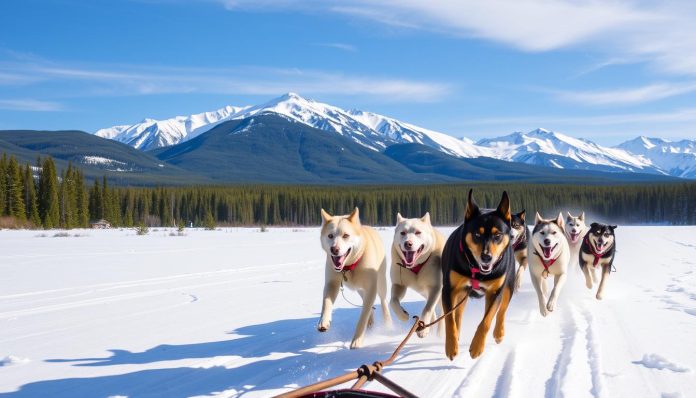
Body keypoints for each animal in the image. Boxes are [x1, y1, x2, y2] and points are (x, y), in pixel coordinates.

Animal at [316, 208, 388, 348]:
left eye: (345, 235)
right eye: (330, 236)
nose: (334, 249)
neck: (350, 266)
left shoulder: (371, 288)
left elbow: (363, 317)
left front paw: (357, 340)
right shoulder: (332, 283)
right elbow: (326, 303)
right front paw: (323, 321)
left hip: (381, 285)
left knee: (383, 302)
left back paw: (389, 324)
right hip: (359, 289)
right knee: (367, 302)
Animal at [444, 190, 512, 360]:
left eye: (497, 235)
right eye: (477, 234)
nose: (486, 257)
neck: (476, 270)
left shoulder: (495, 292)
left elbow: (487, 320)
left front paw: (477, 346)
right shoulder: (449, 289)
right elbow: (449, 319)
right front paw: (451, 345)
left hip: (508, 286)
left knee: (502, 311)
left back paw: (499, 333)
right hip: (461, 293)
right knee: (458, 314)